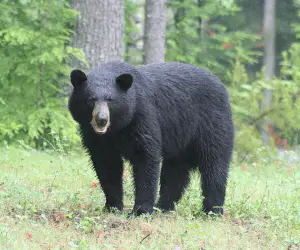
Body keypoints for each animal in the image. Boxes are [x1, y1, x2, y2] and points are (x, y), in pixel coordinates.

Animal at [68, 61, 234, 217]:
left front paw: (140, 211)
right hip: (181, 140)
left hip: (212, 124)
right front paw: (112, 207)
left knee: (214, 167)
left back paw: (212, 211)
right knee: (175, 172)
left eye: (110, 100)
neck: (116, 129)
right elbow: (107, 164)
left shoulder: (142, 115)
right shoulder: (95, 136)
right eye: (91, 99)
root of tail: (222, 85)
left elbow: (145, 157)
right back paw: (163, 206)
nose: (101, 120)